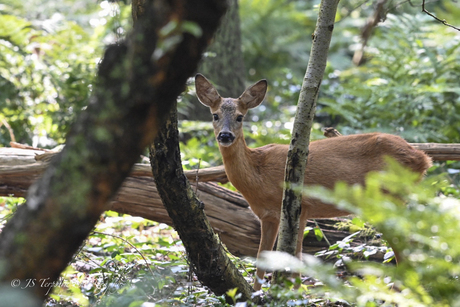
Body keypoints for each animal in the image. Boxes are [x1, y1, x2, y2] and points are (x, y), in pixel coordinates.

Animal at [194, 74, 432, 292]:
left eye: (240, 117)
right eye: (215, 115)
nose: (225, 135)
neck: (258, 174)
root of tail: (423, 158)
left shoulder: (301, 207)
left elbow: (295, 258)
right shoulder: (268, 216)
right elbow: (263, 258)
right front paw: (255, 294)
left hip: (388, 197)